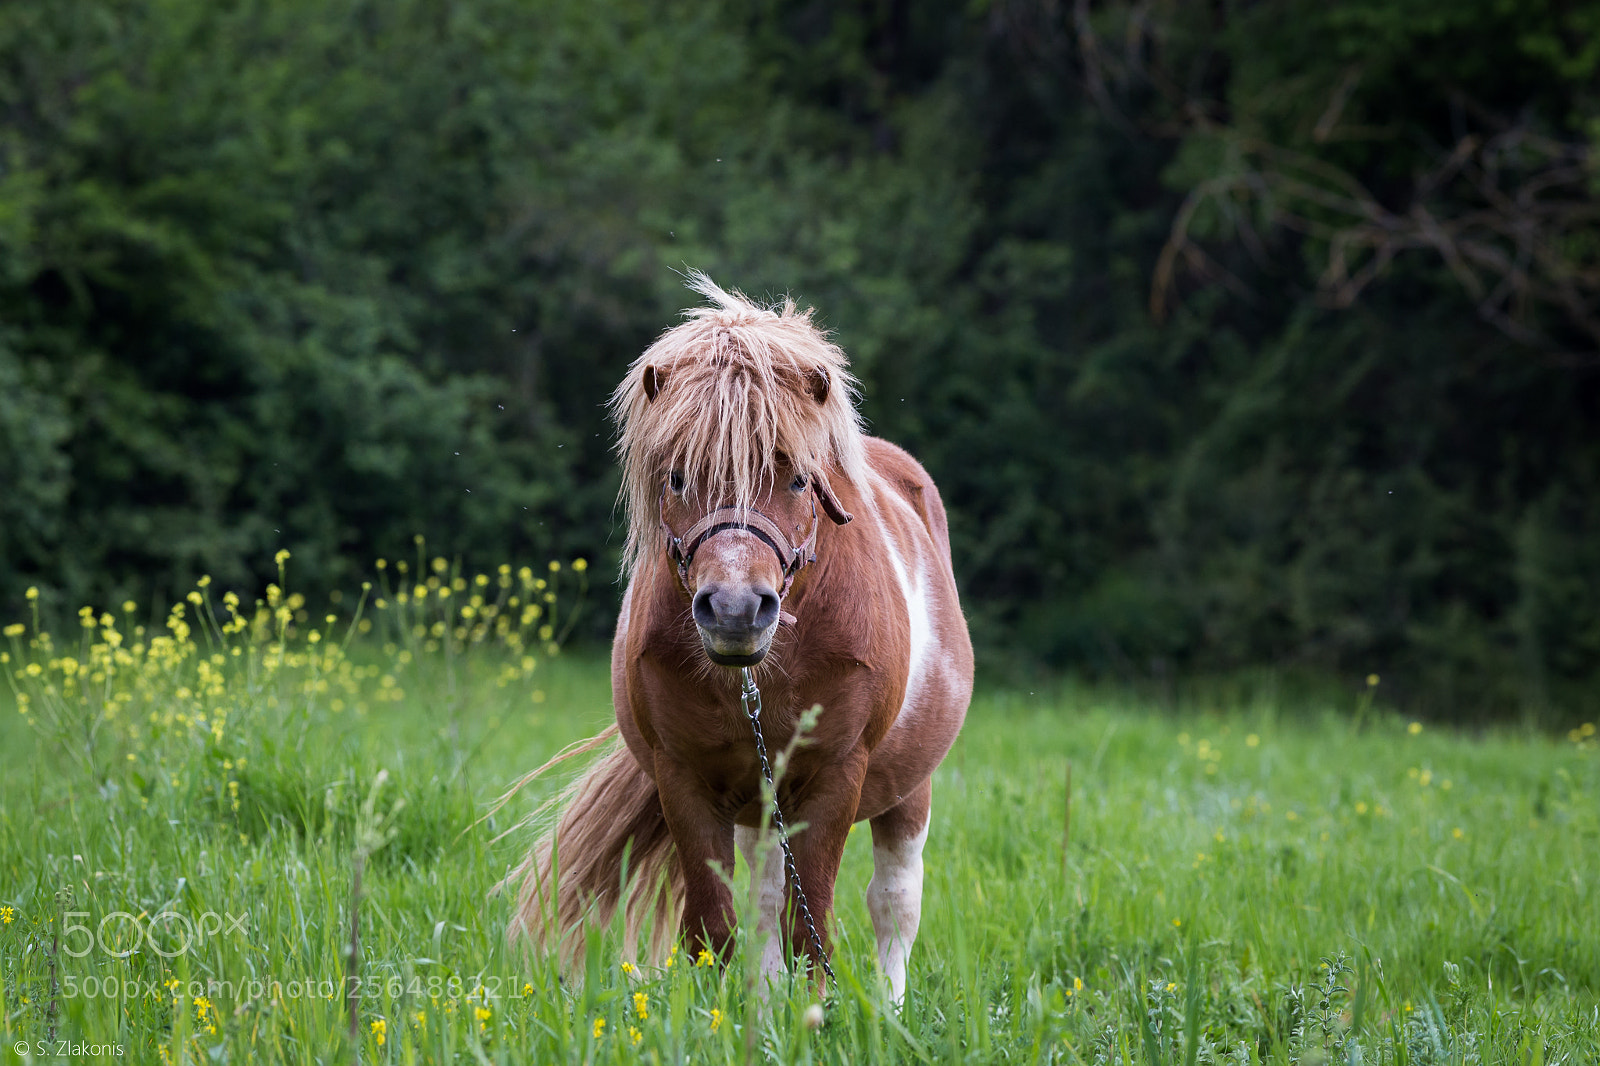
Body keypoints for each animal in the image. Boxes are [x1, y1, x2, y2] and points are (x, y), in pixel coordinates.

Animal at [505, 273, 973, 1004]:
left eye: (799, 478)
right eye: (675, 476)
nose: (734, 609)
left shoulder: (835, 778)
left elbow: (811, 925)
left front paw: (815, 1014)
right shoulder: (684, 778)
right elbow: (715, 925)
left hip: (906, 790)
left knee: (893, 902)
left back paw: (889, 1007)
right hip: (760, 804)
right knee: (765, 894)